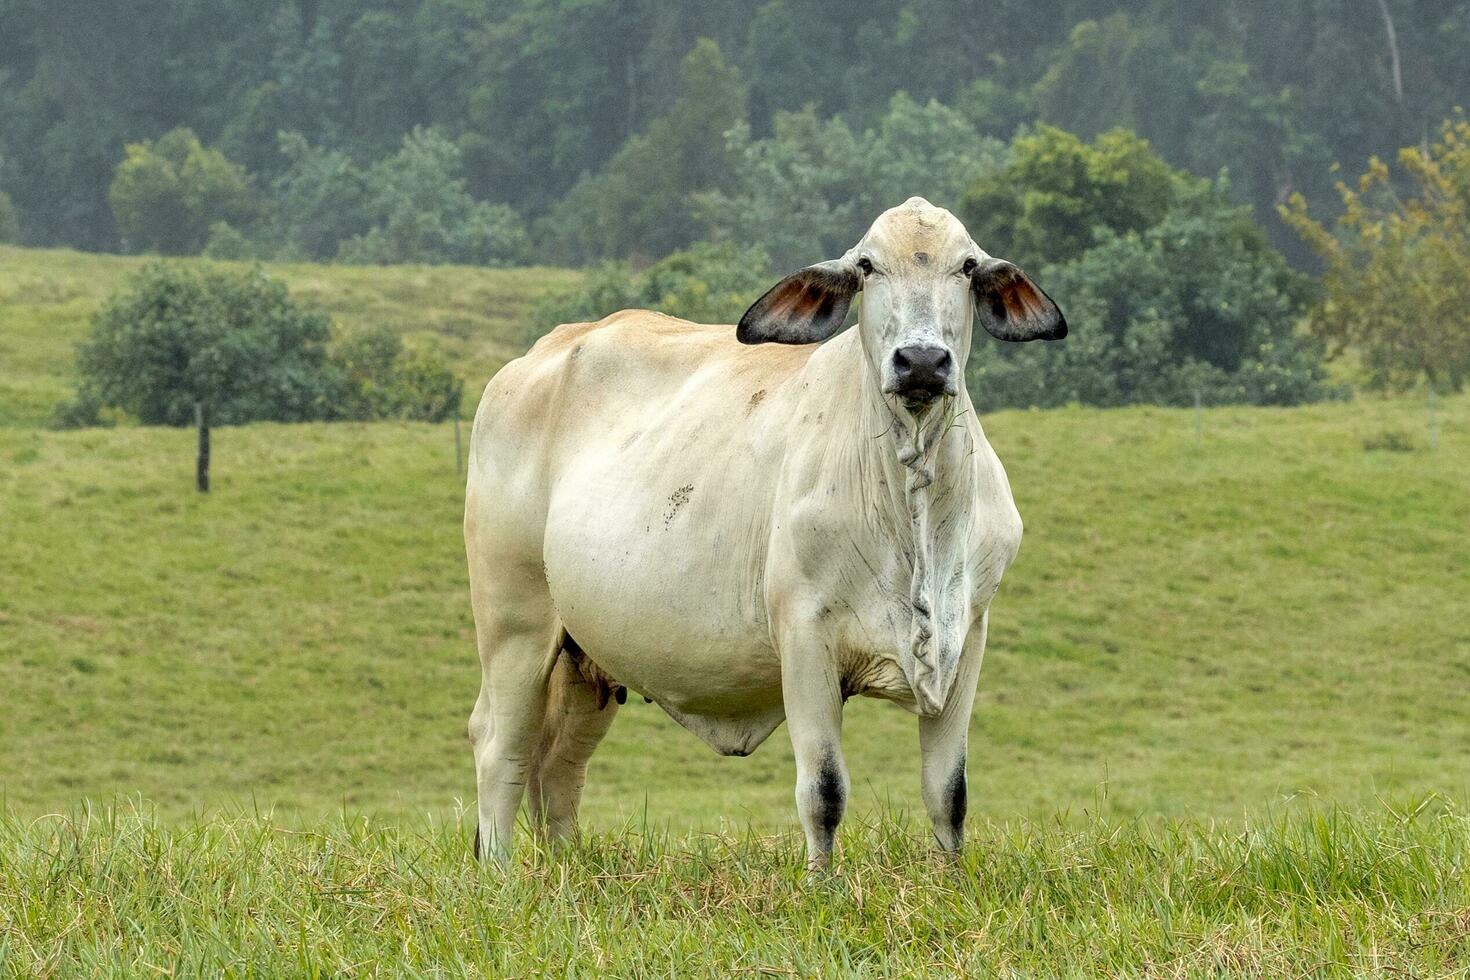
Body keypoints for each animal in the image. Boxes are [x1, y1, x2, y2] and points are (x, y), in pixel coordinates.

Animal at [464, 196, 1064, 863]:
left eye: (966, 266)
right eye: (867, 266)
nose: (922, 361)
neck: (914, 501)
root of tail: (540, 353)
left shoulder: (968, 636)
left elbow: (948, 793)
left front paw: (949, 881)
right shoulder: (804, 637)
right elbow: (823, 792)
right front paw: (823, 884)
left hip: (584, 654)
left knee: (558, 766)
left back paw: (566, 868)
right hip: (514, 622)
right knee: (501, 748)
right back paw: (501, 873)